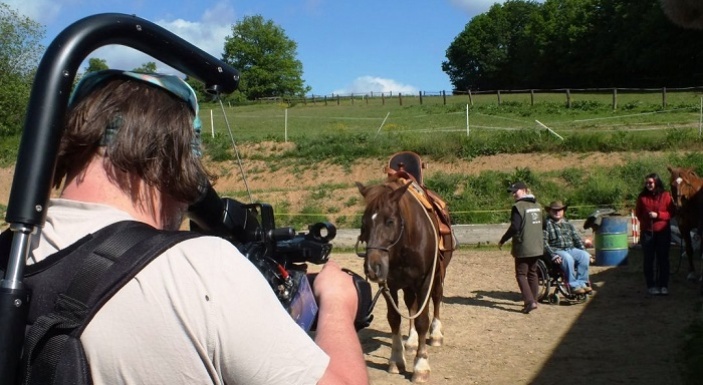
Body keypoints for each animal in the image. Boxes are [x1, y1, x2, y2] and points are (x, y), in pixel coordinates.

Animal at [358, 176, 452, 382]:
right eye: (364, 223)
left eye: (390, 221)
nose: (372, 267)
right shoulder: (389, 284)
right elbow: (394, 319)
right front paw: (396, 359)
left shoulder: (425, 281)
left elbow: (422, 320)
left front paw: (421, 366)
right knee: (411, 305)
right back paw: (411, 341)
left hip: (438, 274)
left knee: (436, 298)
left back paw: (435, 334)